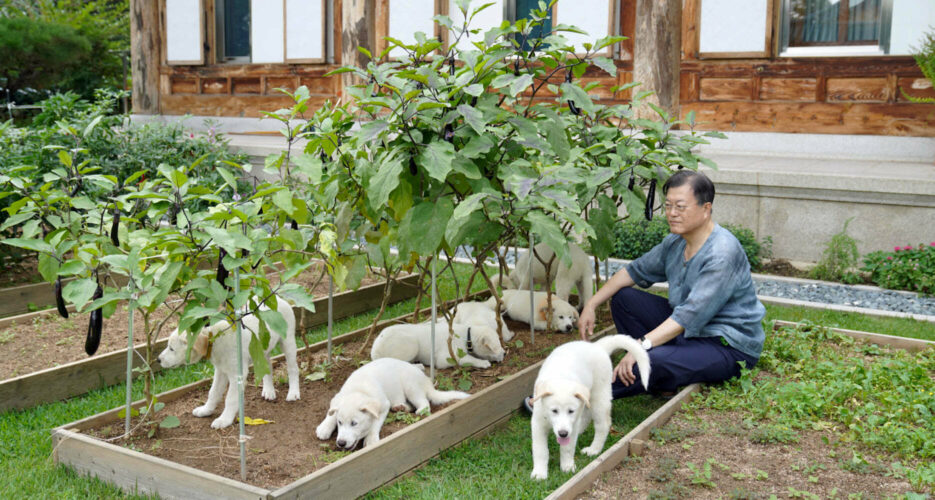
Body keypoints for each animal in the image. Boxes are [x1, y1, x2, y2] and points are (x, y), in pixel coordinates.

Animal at [155, 296, 298, 430]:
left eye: (171, 348)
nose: (158, 359)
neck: (214, 340)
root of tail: (278, 299)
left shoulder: (237, 375)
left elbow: (230, 398)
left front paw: (224, 420)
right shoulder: (220, 371)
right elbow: (213, 392)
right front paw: (206, 410)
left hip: (288, 342)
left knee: (293, 369)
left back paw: (293, 393)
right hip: (262, 349)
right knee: (267, 367)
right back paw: (269, 391)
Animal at [318, 358, 472, 452]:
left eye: (354, 423)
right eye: (340, 423)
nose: (341, 443)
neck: (359, 390)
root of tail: (426, 381)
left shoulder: (383, 405)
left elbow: (375, 424)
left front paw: (371, 439)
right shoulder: (338, 398)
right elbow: (331, 412)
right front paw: (324, 427)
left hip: (411, 386)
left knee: (424, 402)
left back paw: (420, 410)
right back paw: (400, 407)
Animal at [372, 322, 504, 370]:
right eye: (496, 346)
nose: (505, 353)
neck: (467, 335)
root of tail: (375, 350)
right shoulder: (446, 358)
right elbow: (468, 358)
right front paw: (483, 362)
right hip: (411, 345)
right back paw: (418, 366)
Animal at [532, 334, 652, 478]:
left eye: (571, 411)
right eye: (554, 411)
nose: (563, 434)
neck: (560, 377)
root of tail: (597, 346)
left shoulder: (572, 422)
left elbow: (567, 448)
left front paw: (567, 467)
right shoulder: (537, 423)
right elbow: (540, 450)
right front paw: (539, 473)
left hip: (599, 396)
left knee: (603, 424)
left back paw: (594, 449)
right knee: (587, 415)